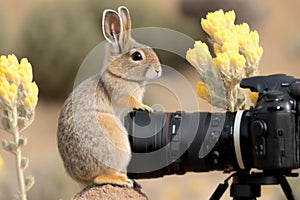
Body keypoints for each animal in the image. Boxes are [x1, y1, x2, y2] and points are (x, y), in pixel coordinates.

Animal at [57, 5, 163, 188]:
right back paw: (122, 180)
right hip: (116, 139)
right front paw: (146, 107)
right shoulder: (121, 92)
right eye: (137, 56)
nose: (158, 70)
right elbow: (130, 100)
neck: (119, 74)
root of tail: (79, 178)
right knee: (99, 177)